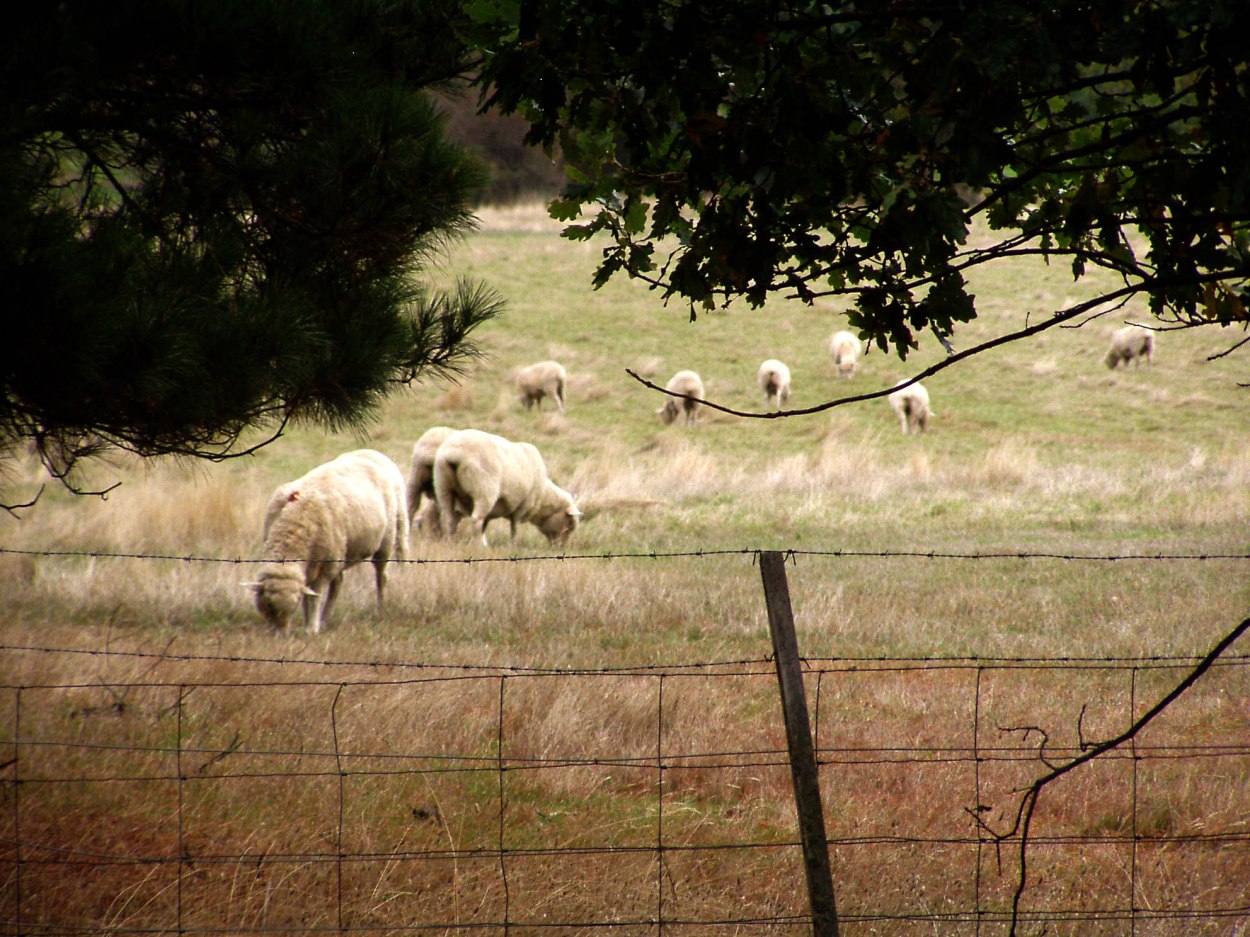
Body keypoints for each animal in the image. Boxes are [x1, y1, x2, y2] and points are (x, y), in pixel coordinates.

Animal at [245, 449, 408, 634]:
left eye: (292, 606)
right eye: (269, 605)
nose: (280, 634)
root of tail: (369, 453)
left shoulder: (324, 566)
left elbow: (315, 596)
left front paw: (311, 627)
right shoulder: (310, 566)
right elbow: (309, 595)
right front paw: (310, 622)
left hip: (385, 541)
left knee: (381, 576)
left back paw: (380, 607)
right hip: (342, 552)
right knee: (337, 584)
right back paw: (325, 618)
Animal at [433, 429, 581, 547]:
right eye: (569, 524)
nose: (560, 546)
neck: (543, 496)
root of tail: (453, 454)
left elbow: (485, 525)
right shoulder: (522, 506)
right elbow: (514, 528)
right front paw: (513, 544)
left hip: (443, 487)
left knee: (450, 519)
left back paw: (451, 542)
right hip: (484, 490)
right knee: (476, 519)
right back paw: (478, 545)